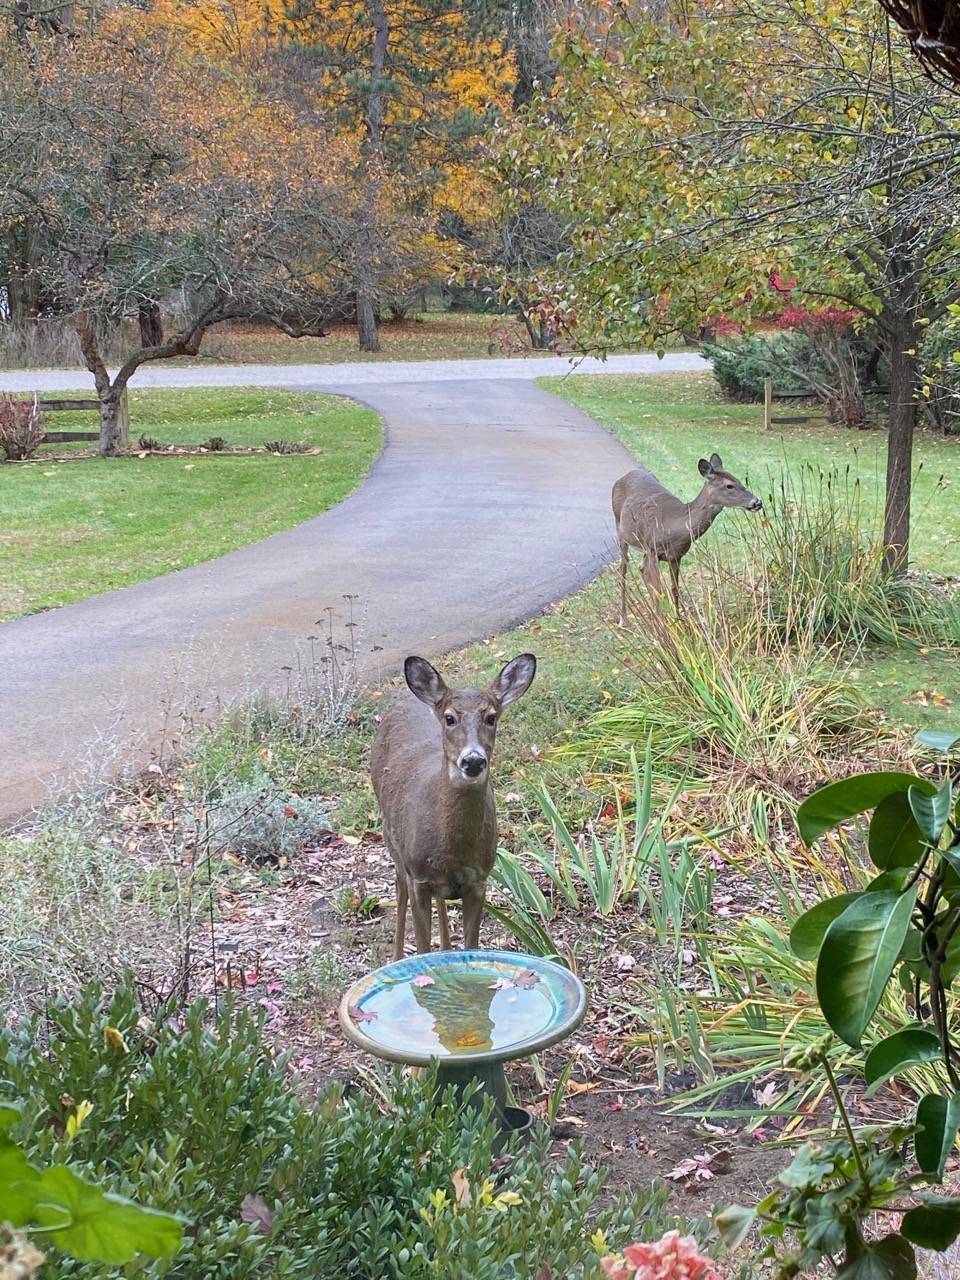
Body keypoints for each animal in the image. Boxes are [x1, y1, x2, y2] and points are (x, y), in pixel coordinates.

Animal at [371, 652, 537, 960]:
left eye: (491, 717)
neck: (453, 849)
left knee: (441, 902)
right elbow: (422, 947)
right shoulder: (418, 877)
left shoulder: (479, 879)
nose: (472, 760)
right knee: (399, 888)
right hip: (393, 841)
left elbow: (471, 944)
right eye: (449, 718)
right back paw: (396, 958)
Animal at [613, 452, 762, 619]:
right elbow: (658, 589)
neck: (673, 526)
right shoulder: (653, 549)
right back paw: (624, 619)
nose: (757, 502)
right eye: (729, 485)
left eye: (739, 480)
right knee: (623, 570)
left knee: (641, 568)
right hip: (621, 530)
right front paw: (662, 624)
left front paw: (678, 620)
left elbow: (675, 589)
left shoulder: (676, 556)